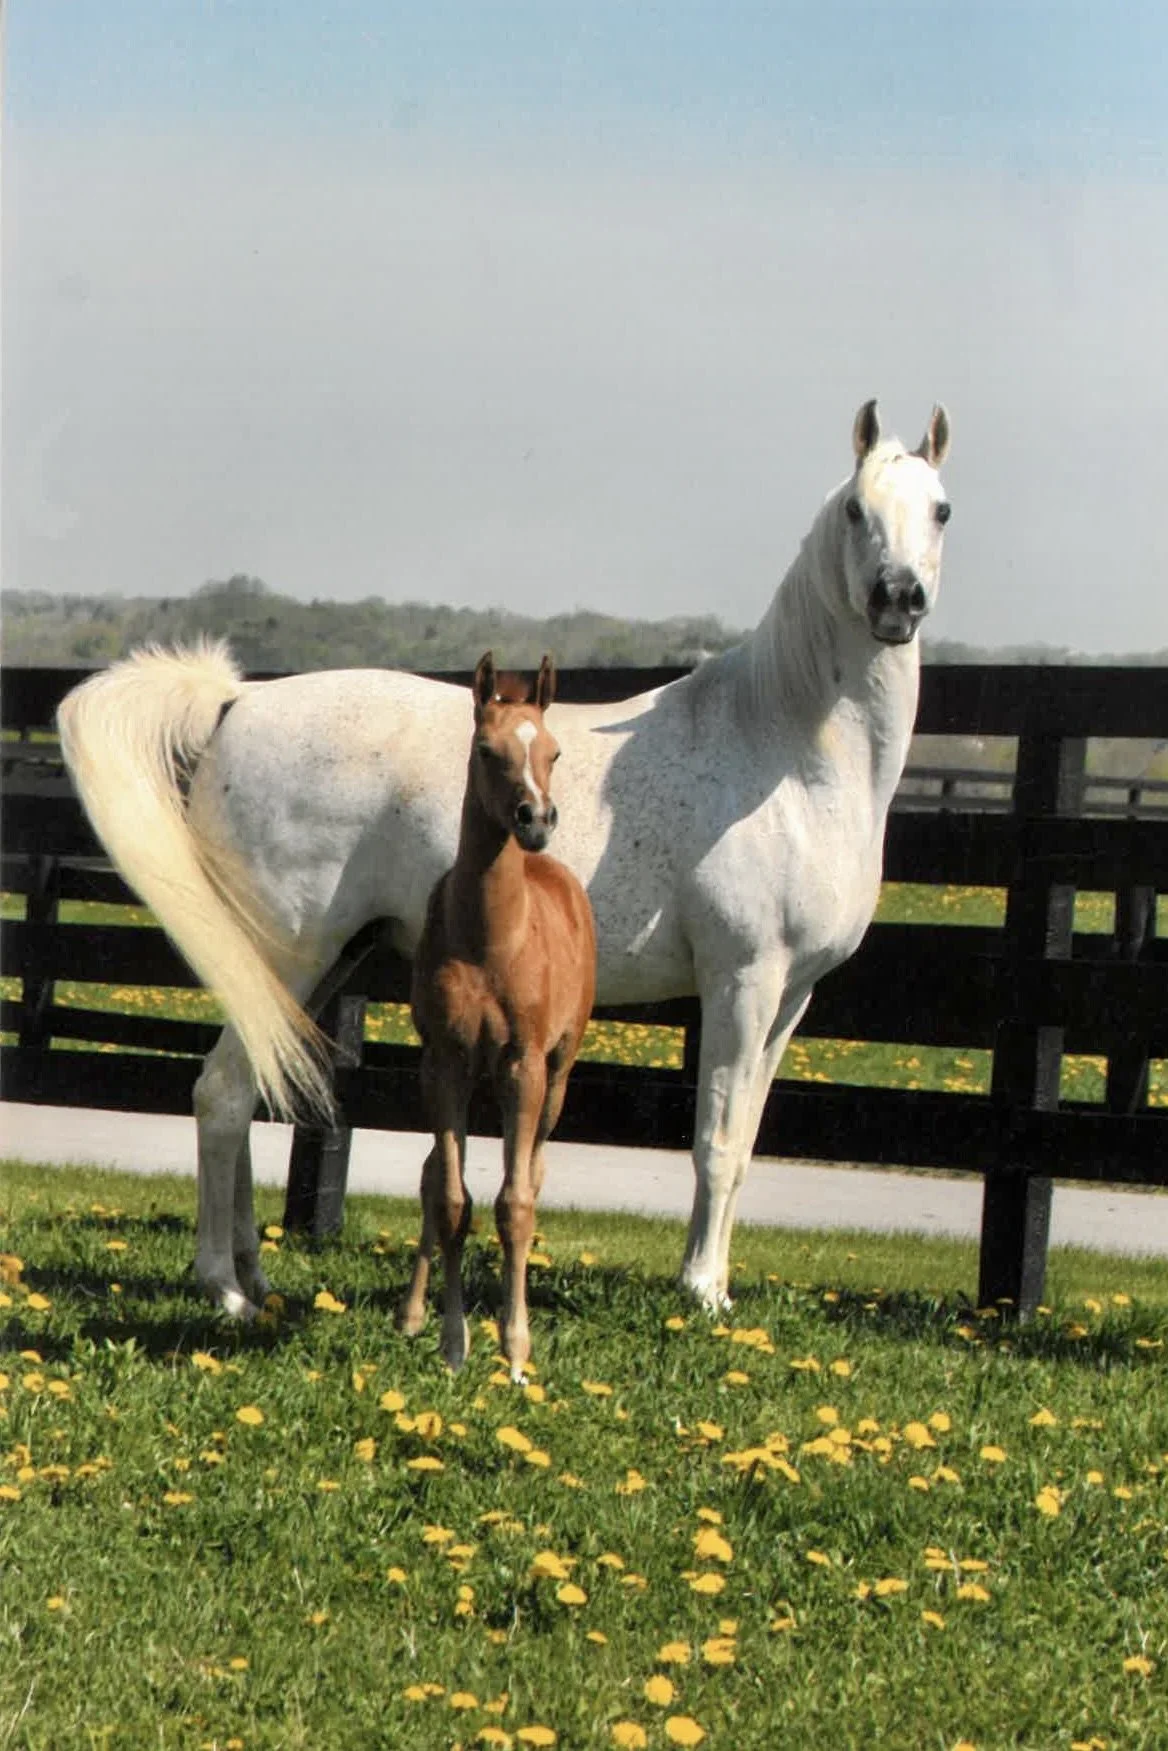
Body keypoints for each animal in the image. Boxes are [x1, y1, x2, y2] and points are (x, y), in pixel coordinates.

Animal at [399, 651, 596, 1377]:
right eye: (487, 750)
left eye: (554, 750)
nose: (535, 819)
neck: (491, 940)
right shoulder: (445, 1063)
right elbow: (452, 1200)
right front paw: (453, 1344)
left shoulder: (522, 1066)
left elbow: (515, 1205)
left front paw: (514, 1351)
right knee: (432, 1174)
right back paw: (410, 1315)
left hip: (559, 1072)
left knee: (533, 1174)